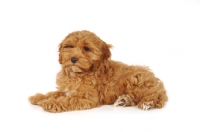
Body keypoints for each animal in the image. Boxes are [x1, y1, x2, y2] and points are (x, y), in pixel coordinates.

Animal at [28, 30, 168, 112]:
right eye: (70, 46)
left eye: (86, 48)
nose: (73, 59)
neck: (78, 73)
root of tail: (158, 83)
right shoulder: (65, 90)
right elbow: (55, 93)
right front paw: (39, 97)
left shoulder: (88, 98)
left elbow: (69, 100)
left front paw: (50, 103)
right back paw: (123, 101)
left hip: (136, 80)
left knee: (156, 96)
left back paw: (148, 103)